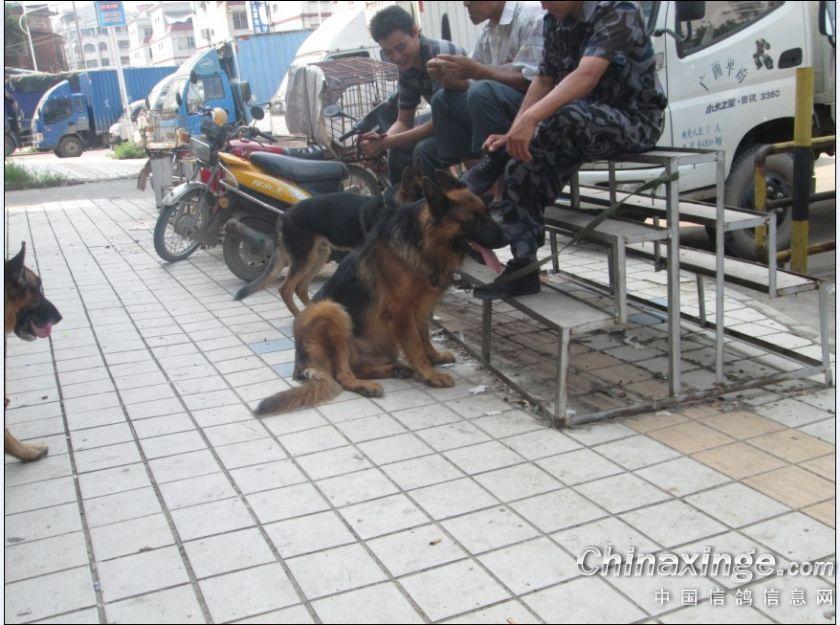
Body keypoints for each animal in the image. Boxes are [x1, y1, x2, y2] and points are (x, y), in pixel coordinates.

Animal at [233, 165, 424, 313]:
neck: (391, 208)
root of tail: (284, 216)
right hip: (305, 259)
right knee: (286, 289)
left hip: (319, 256)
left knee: (300, 287)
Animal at [253, 170, 509, 416]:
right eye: (473, 220)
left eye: (487, 212)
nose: (507, 238)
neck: (421, 243)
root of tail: (301, 362)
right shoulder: (402, 312)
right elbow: (415, 345)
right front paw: (430, 374)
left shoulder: (421, 307)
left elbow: (424, 336)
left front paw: (434, 358)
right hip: (331, 309)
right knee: (341, 375)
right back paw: (366, 385)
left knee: (360, 367)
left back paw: (396, 369)